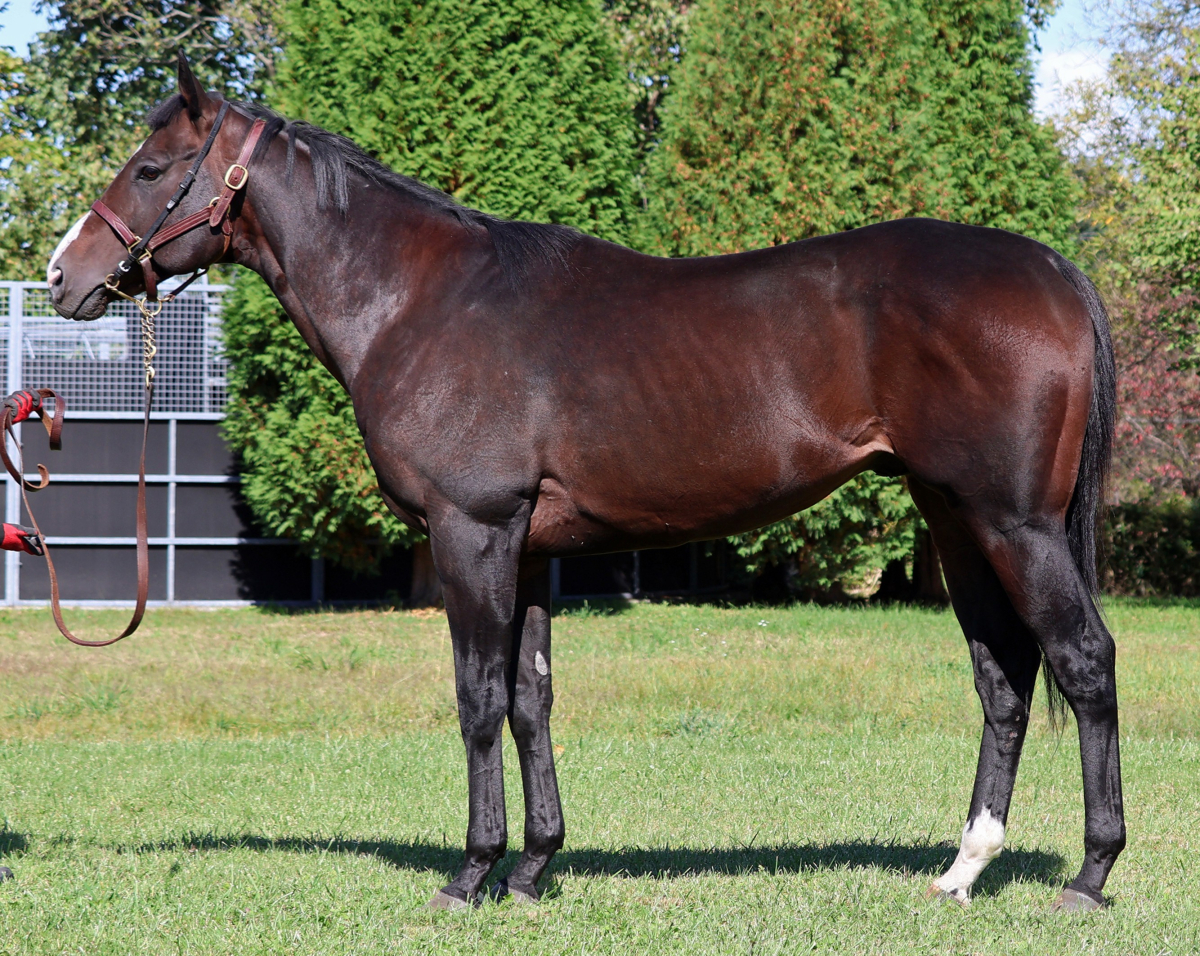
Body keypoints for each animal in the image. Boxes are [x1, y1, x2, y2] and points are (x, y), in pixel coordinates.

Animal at [47, 54, 1123, 913]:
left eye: (149, 170)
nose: (63, 277)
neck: (421, 300)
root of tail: (1053, 271)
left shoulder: (472, 529)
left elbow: (479, 696)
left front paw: (470, 874)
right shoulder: (526, 547)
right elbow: (532, 699)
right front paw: (532, 869)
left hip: (1014, 523)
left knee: (1082, 659)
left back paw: (1088, 874)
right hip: (955, 519)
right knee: (1003, 676)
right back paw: (963, 870)